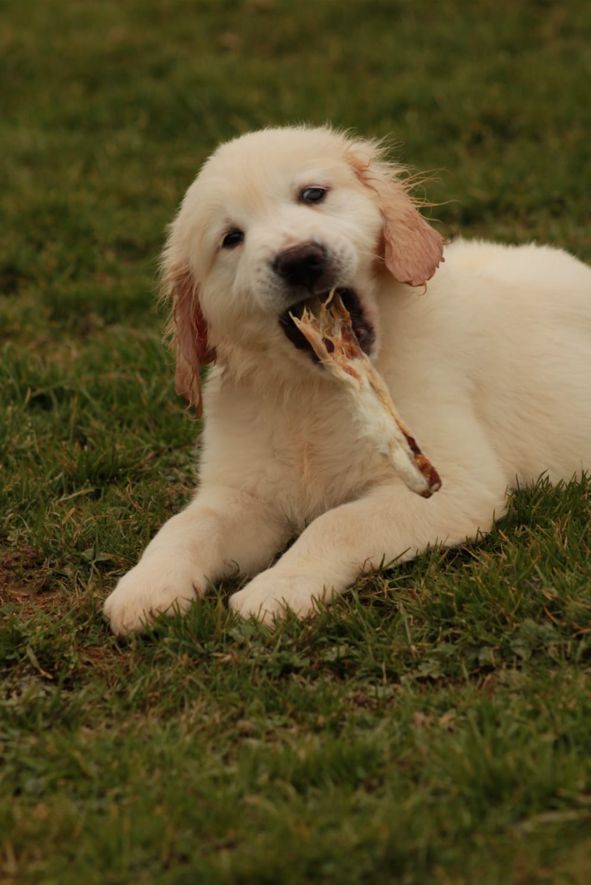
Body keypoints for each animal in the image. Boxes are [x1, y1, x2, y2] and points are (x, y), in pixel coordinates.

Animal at [103, 125, 591, 635]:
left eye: (313, 194)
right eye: (231, 238)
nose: (299, 260)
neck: (315, 391)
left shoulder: (453, 485)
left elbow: (338, 523)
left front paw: (277, 589)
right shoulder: (246, 496)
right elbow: (189, 524)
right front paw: (147, 585)